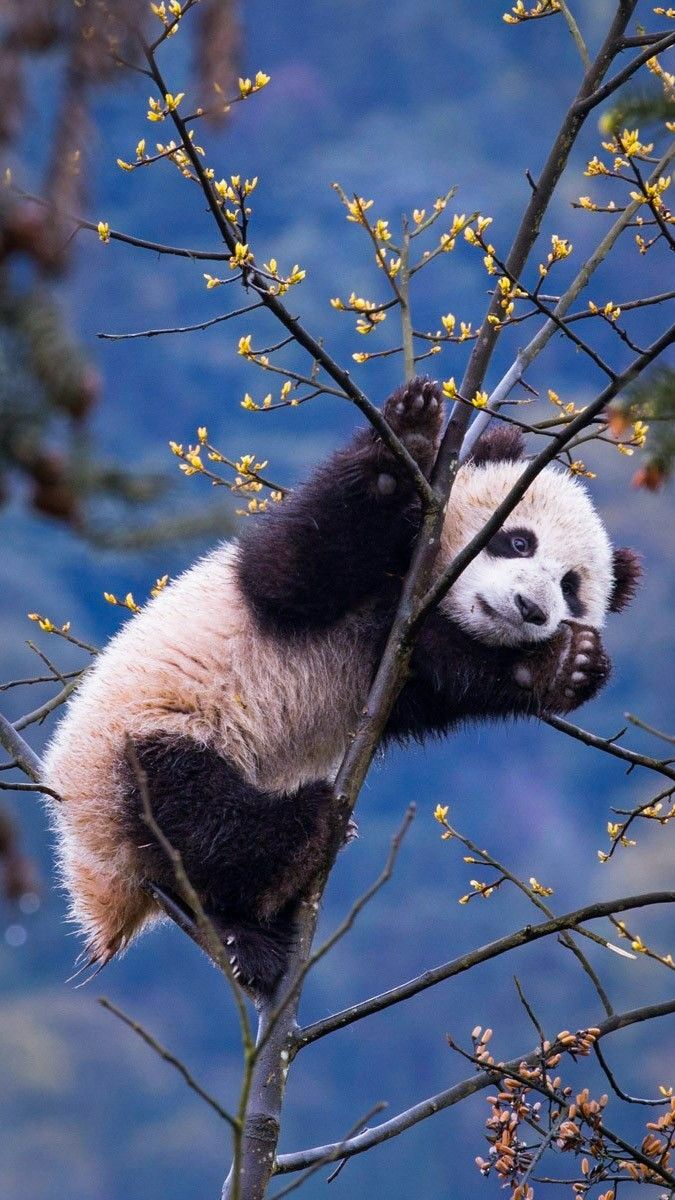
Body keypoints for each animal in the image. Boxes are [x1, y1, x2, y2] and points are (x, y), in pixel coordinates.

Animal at [42, 376, 640, 995]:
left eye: (570, 589)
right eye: (519, 542)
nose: (529, 608)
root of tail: (100, 880)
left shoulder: (400, 659)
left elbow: (447, 678)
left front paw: (565, 664)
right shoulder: (304, 578)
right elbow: (295, 567)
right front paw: (409, 436)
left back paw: (255, 929)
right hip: (139, 741)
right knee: (190, 811)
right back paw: (304, 836)